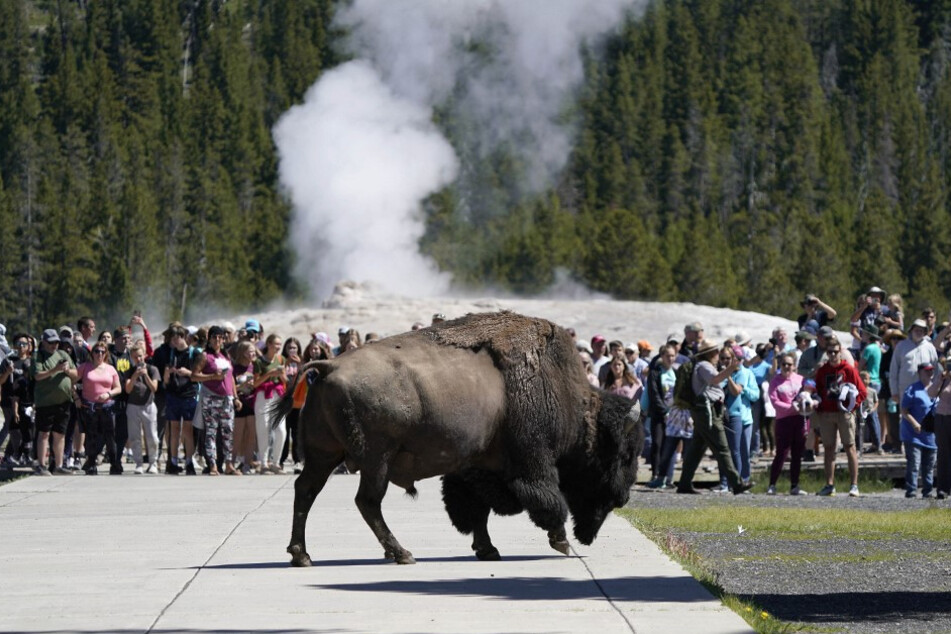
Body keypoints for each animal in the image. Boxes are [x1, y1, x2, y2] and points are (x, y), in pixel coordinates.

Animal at [270, 310, 648, 564]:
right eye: (625, 454)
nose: (624, 497)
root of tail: (328, 366)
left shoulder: (473, 468)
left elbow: (474, 510)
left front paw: (488, 549)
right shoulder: (533, 460)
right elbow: (547, 500)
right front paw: (561, 543)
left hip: (324, 455)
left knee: (306, 491)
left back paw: (301, 554)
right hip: (376, 460)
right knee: (366, 502)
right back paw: (401, 553)